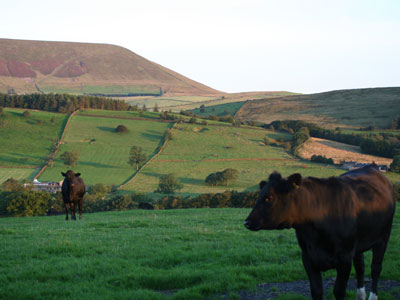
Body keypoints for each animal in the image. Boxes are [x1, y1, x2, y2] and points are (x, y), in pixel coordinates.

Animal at [244, 165, 394, 300]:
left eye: (269, 197)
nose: (247, 222)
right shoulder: (308, 257)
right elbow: (316, 291)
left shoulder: (345, 258)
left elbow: (339, 291)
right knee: (360, 266)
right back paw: (360, 295)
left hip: (383, 238)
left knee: (375, 268)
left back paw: (372, 296)